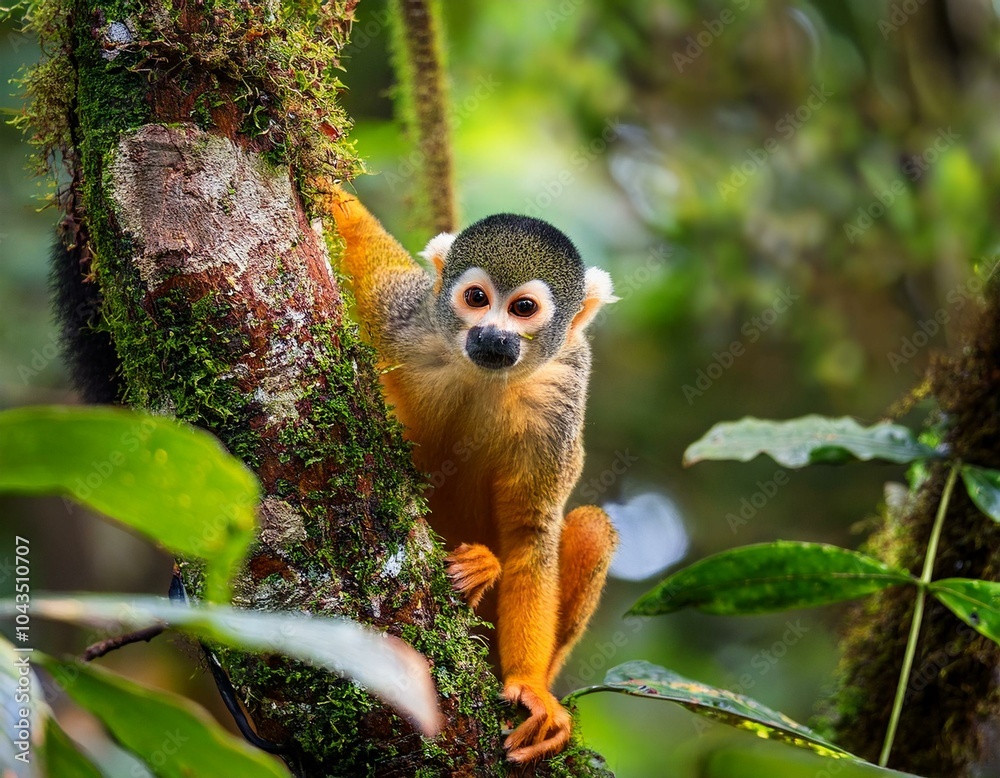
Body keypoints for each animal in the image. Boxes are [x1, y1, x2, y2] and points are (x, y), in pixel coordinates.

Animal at [324, 185, 619, 763]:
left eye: (523, 309)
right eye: (477, 299)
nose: (493, 335)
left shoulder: (562, 396)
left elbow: (531, 529)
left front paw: (529, 685)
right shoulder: (410, 318)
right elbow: (369, 255)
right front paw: (328, 193)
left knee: (592, 526)